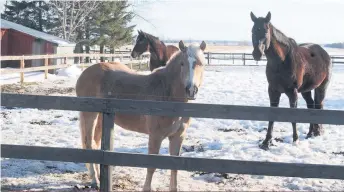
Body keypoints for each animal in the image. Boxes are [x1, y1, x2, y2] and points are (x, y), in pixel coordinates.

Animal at [76, 39, 206, 190]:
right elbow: (151, 166)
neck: (167, 94)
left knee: (96, 144)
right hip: (89, 115)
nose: (191, 90)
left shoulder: (178, 136)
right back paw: (94, 181)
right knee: (89, 143)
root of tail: (85, 73)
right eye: (182, 64)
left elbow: (174, 167)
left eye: (201, 63)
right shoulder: (155, 136)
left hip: (101, 119)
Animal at [250, 11, 334, 150]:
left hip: (321, 87)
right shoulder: (273, 91)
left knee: (319, 105)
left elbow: (293, 117)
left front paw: (295, 140)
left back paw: (317, 132)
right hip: (306, 90)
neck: (281, 61)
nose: (257, 53)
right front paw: (266, 142)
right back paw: (310, 133)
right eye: (252, 31)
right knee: (311, 105)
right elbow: (271, 116)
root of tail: (325, 53)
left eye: (266, 30)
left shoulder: (293, 93)